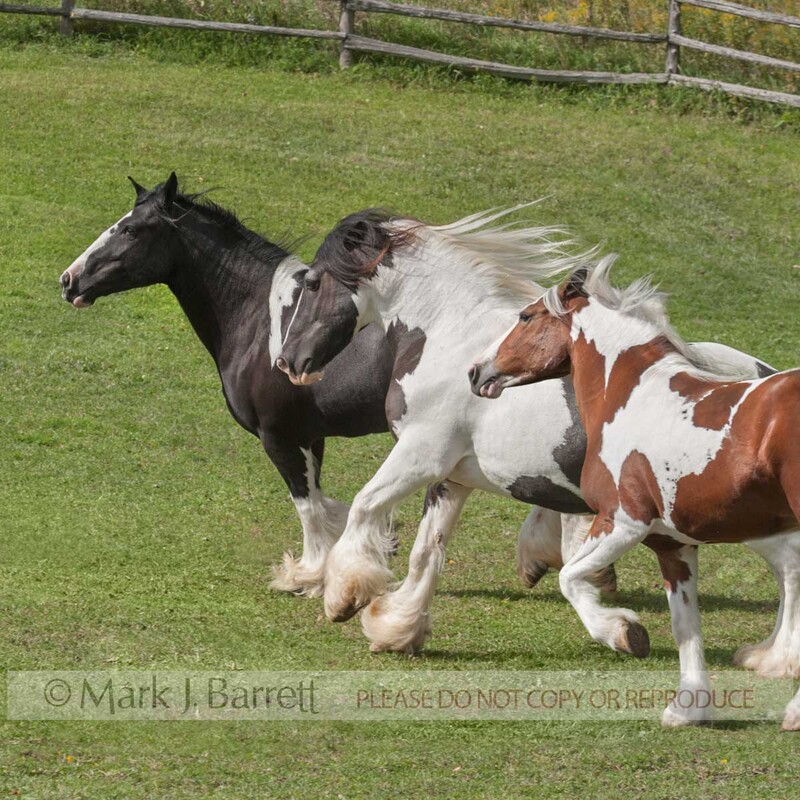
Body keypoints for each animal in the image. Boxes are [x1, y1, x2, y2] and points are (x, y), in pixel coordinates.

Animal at [58, 174, 570, 600]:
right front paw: (371, 548)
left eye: (129, 230)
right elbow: (325, 503)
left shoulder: (279, 436)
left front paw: (309, 574)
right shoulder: (311, 435)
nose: (68, 280)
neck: (260, 321)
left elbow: (307, 505)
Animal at [276, 206, 784, 658]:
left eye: (313, 282)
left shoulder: (421, 455)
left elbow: (365, 504)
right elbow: (427, 551)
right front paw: (399, 629)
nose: (289, 361)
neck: (450, 339)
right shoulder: (452, 476)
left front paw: (343, 597)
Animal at [470, 257, 800, 729]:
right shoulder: (672, 545)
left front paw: (623, 633)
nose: (476, 372)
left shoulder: (623, 522)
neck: (629, 397)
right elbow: (686, 627)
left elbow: (570, 579)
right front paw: (688, 708)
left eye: (526, 316)